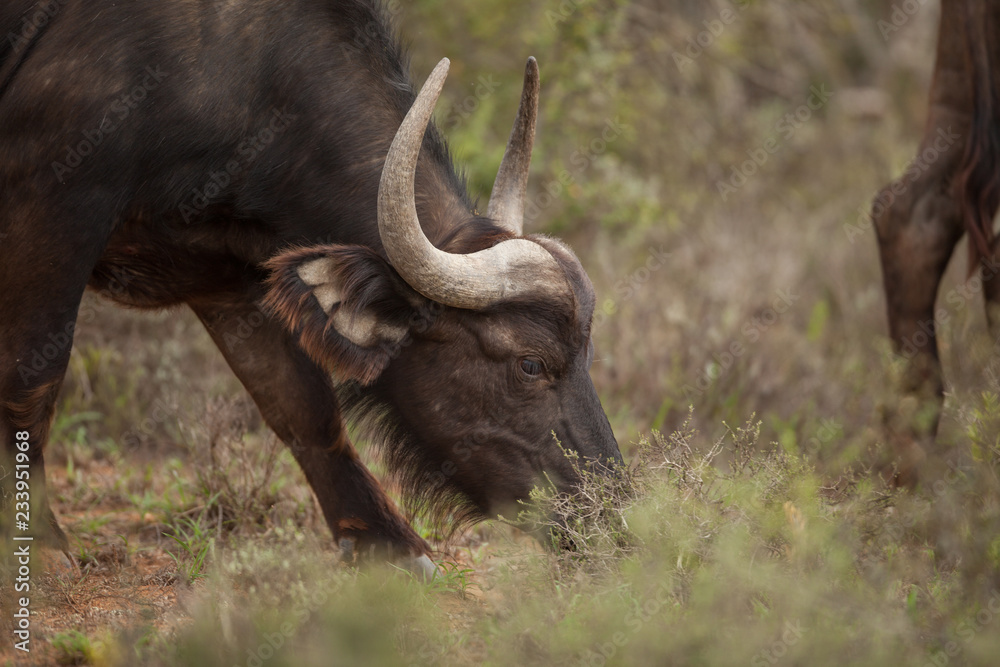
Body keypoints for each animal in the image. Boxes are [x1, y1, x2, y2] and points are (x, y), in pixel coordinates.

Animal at [0, 0, 622, 577]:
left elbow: (302, 408)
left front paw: (388, 542)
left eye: (587, 355)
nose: (611, 515)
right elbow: (31, 379)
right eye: (530, 364)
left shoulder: (231, 280)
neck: (243, 74)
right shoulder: (53, 202)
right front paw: (40, 543)